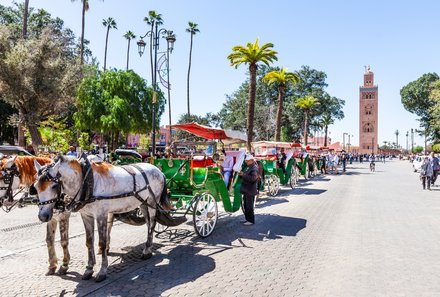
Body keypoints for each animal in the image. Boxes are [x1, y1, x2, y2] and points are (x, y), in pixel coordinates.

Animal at [33, 154, 172, 280]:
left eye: (54, 186)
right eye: (35, 187)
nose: (43, 216)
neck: (87, 181)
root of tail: (158, 170)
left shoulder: (101, 216)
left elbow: (102, 243)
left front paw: (102, 271)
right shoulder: (86, 215)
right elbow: (89, 241)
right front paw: (89, 269)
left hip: (153, 202)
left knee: (152, 223)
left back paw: (147, 251)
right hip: (143, 203)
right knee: (148, 223)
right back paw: (148, 247)